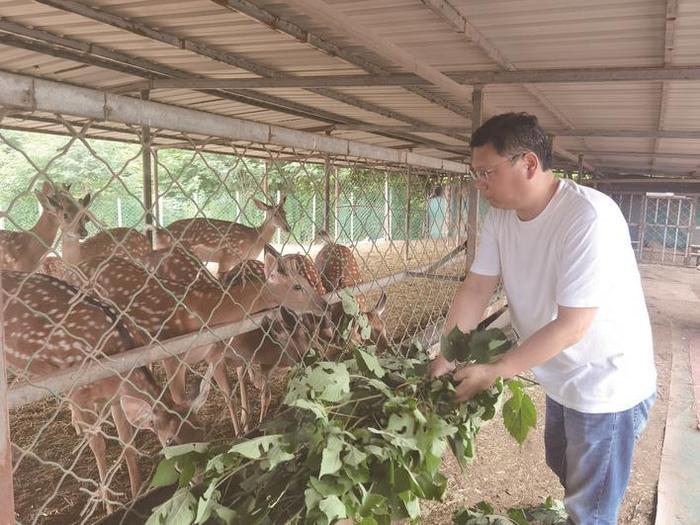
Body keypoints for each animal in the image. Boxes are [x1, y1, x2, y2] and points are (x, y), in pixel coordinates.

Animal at [0, 270, 208, 508]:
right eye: (170, 441)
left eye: (203, 431)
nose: (199, 478)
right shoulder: (78, 392)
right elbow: (98, 446)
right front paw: (109, 506)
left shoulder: (116, 397)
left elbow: (127, 442)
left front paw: (136, 493)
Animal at [72, 246, 330, 434]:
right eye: (298, 286)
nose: (323, 304)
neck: (203, 309)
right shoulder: (171, 355)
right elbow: (180, 401)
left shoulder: (214, 351)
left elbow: (226, 393)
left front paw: (239, 432)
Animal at [156, 193, 290, 274]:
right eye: (275, 214)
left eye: (285, 213)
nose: (288, 228)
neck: (253, 239)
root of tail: (160, 233)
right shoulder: (227, 256)